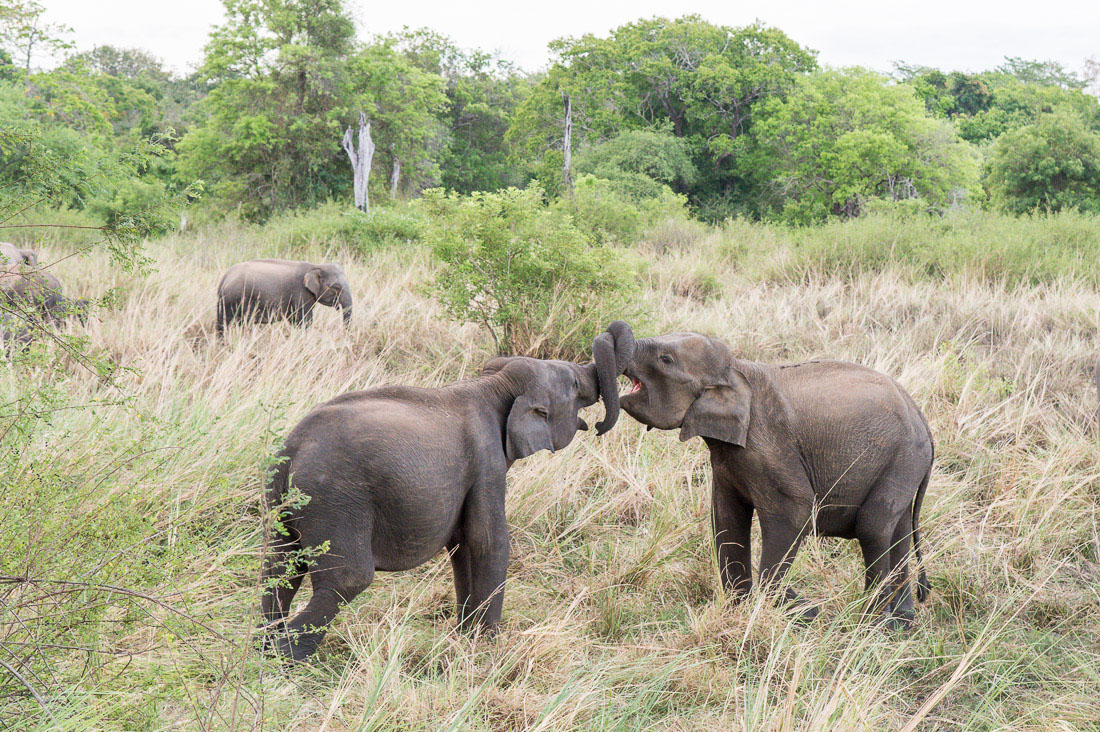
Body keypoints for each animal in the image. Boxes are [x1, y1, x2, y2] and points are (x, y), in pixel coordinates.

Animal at [214, 256, 352, 334]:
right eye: (336, 287)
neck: (315, 266)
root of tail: (224, 278)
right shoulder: (300, 292)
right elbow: (305, 320)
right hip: (235, 299)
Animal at [259, 323, 638, 660]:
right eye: (573, 385)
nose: (600, 425)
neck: (494, 383)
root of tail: (292, 447)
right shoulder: (487, 462)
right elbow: (488, 540)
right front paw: (488, 650)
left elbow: (463, 545)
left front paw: (465, 639)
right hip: (335, 497)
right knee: (347, 577)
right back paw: (287, 661)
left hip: (285, 500)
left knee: (279, 567)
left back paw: (263, 651)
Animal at [624, 334, 932, 625]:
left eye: (665, 360)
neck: (736, 367)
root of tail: (921, 417)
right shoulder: (728, 459)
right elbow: (726, 519)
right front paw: (741, 612)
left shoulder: (767, 447)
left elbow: (794, 512)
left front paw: (804, 612)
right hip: (904, 464)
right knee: (898, 530)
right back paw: (900, 622)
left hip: (903, 458)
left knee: (873, 528)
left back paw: (872, 624)